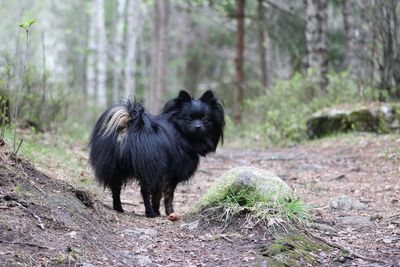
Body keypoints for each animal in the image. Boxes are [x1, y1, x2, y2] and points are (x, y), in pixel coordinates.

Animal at [88, 90, 225, 218]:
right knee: (144, 192)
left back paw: (119, 208)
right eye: (189, 120)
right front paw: (167, 212)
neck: (180, 132)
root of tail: (131, 126)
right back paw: (150, 213)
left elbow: (158, 195)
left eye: (205, 120)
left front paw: (160, 212)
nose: (198, 126)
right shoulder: (167, 175)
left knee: (116, 189)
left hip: (116, 168)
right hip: (149, 170)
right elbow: (165, 196)